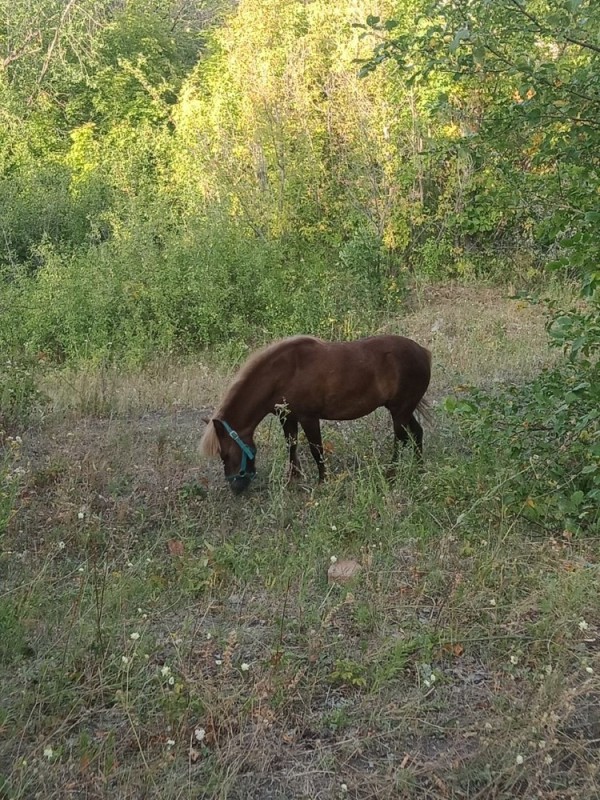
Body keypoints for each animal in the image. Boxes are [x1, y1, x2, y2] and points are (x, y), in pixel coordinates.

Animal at [202, 332, 432, 494]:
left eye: (225, 454)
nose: (236, 489)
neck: (284, 373)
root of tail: (423, 352)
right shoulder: (288, 418)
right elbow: (292, 446)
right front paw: (293, 479)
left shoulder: (309, 418)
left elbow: (316, 450)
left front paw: (323, 481)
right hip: (401, 410)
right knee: (416, 434)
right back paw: (420, 469)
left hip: (400, 411)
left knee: (401, 439)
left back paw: (391, 474)